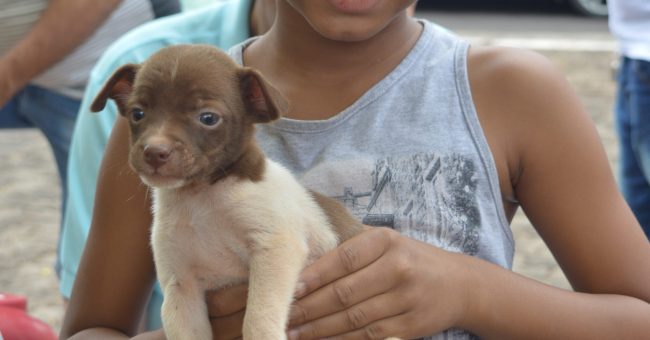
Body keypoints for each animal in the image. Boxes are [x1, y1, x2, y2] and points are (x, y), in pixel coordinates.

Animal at [89, 43, 368, 338]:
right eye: (137, 114)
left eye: (208, 118)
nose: (154, 151)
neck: (198, 198)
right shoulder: (181, 287)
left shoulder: (275, 248)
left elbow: (257, 318)